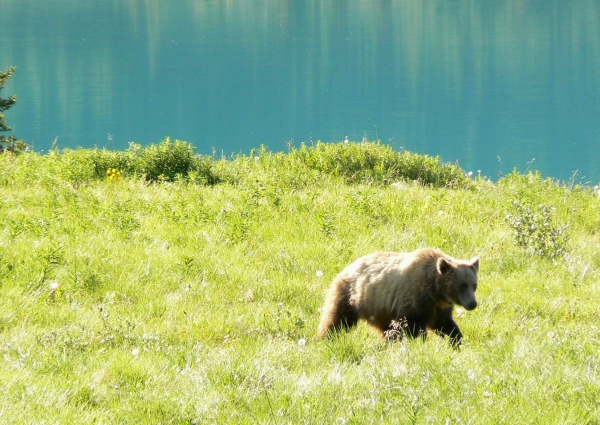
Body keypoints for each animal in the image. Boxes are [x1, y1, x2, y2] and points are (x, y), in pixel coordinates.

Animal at [316, 248, 480, 344]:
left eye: (474, 285)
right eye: (462, 285)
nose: (472, 304)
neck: (436, 291)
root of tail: (347, 267)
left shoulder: (439, 307)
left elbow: (444, 324)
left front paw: (456, 341)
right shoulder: (415, 299)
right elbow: (412, 326)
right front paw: (419, 342)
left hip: (381, 310)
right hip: (352, 296)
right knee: (337, 319)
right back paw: (325, 338)